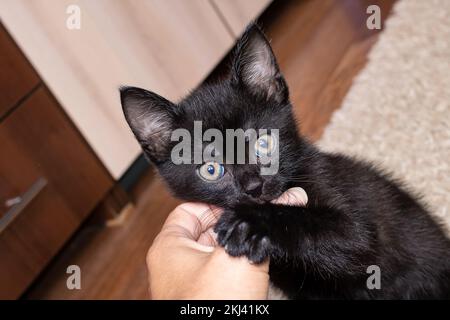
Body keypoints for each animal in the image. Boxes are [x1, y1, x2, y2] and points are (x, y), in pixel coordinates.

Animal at [120, 25, 450, 300]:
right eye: (211, 170)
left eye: (264, 143)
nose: (254, 187)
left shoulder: (360, 232)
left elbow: (318, 224)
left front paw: (250, 222)